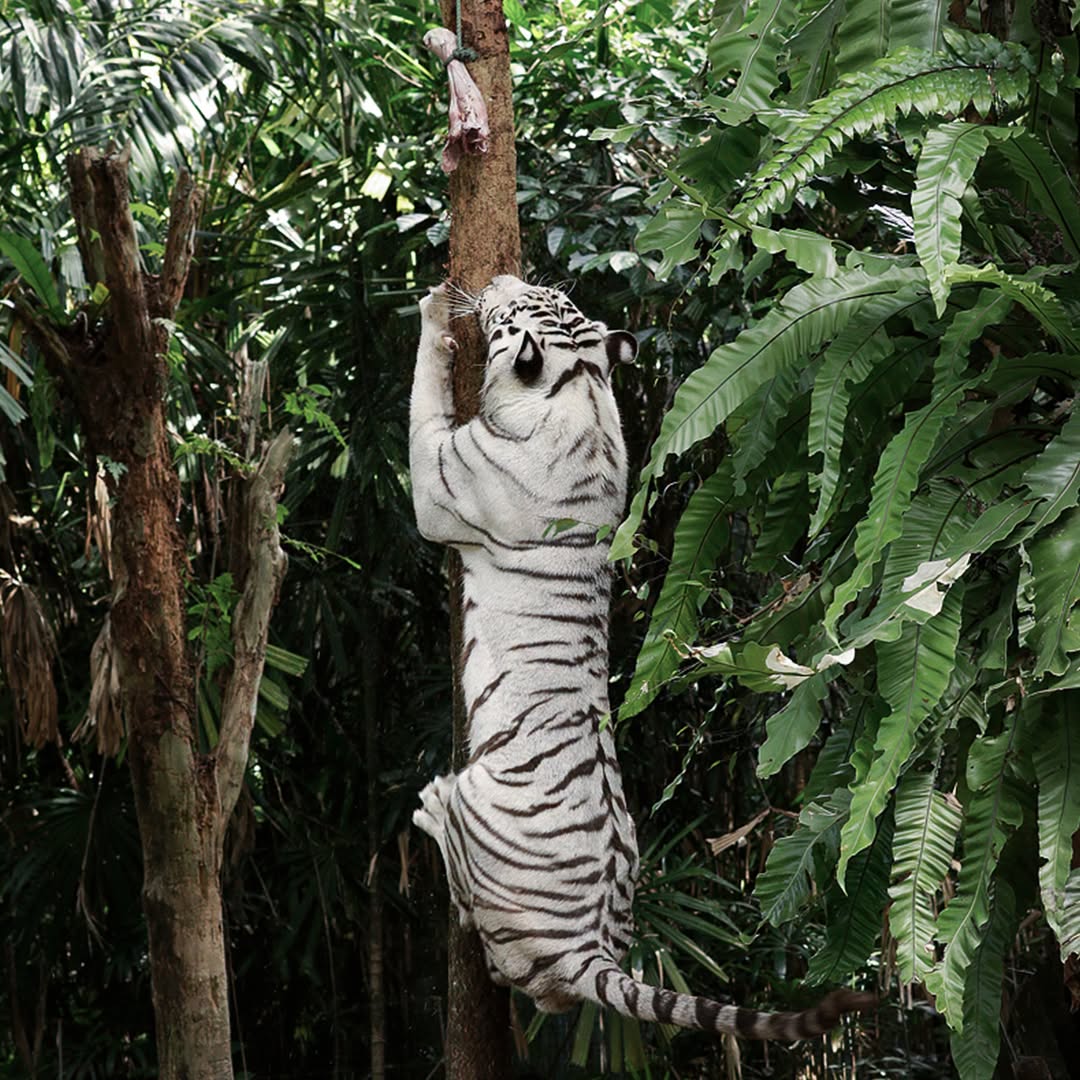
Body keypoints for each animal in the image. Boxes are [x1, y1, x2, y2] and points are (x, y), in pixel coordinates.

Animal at [409, 274, 874, 1038]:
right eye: (540, 289)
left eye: (514, 308)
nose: (499, 280)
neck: (580, 383)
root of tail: (592, 950)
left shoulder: (440, 480)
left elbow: (423, 404)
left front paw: (431, 312)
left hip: (479, 800)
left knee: (483, 923)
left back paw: (431, 807)